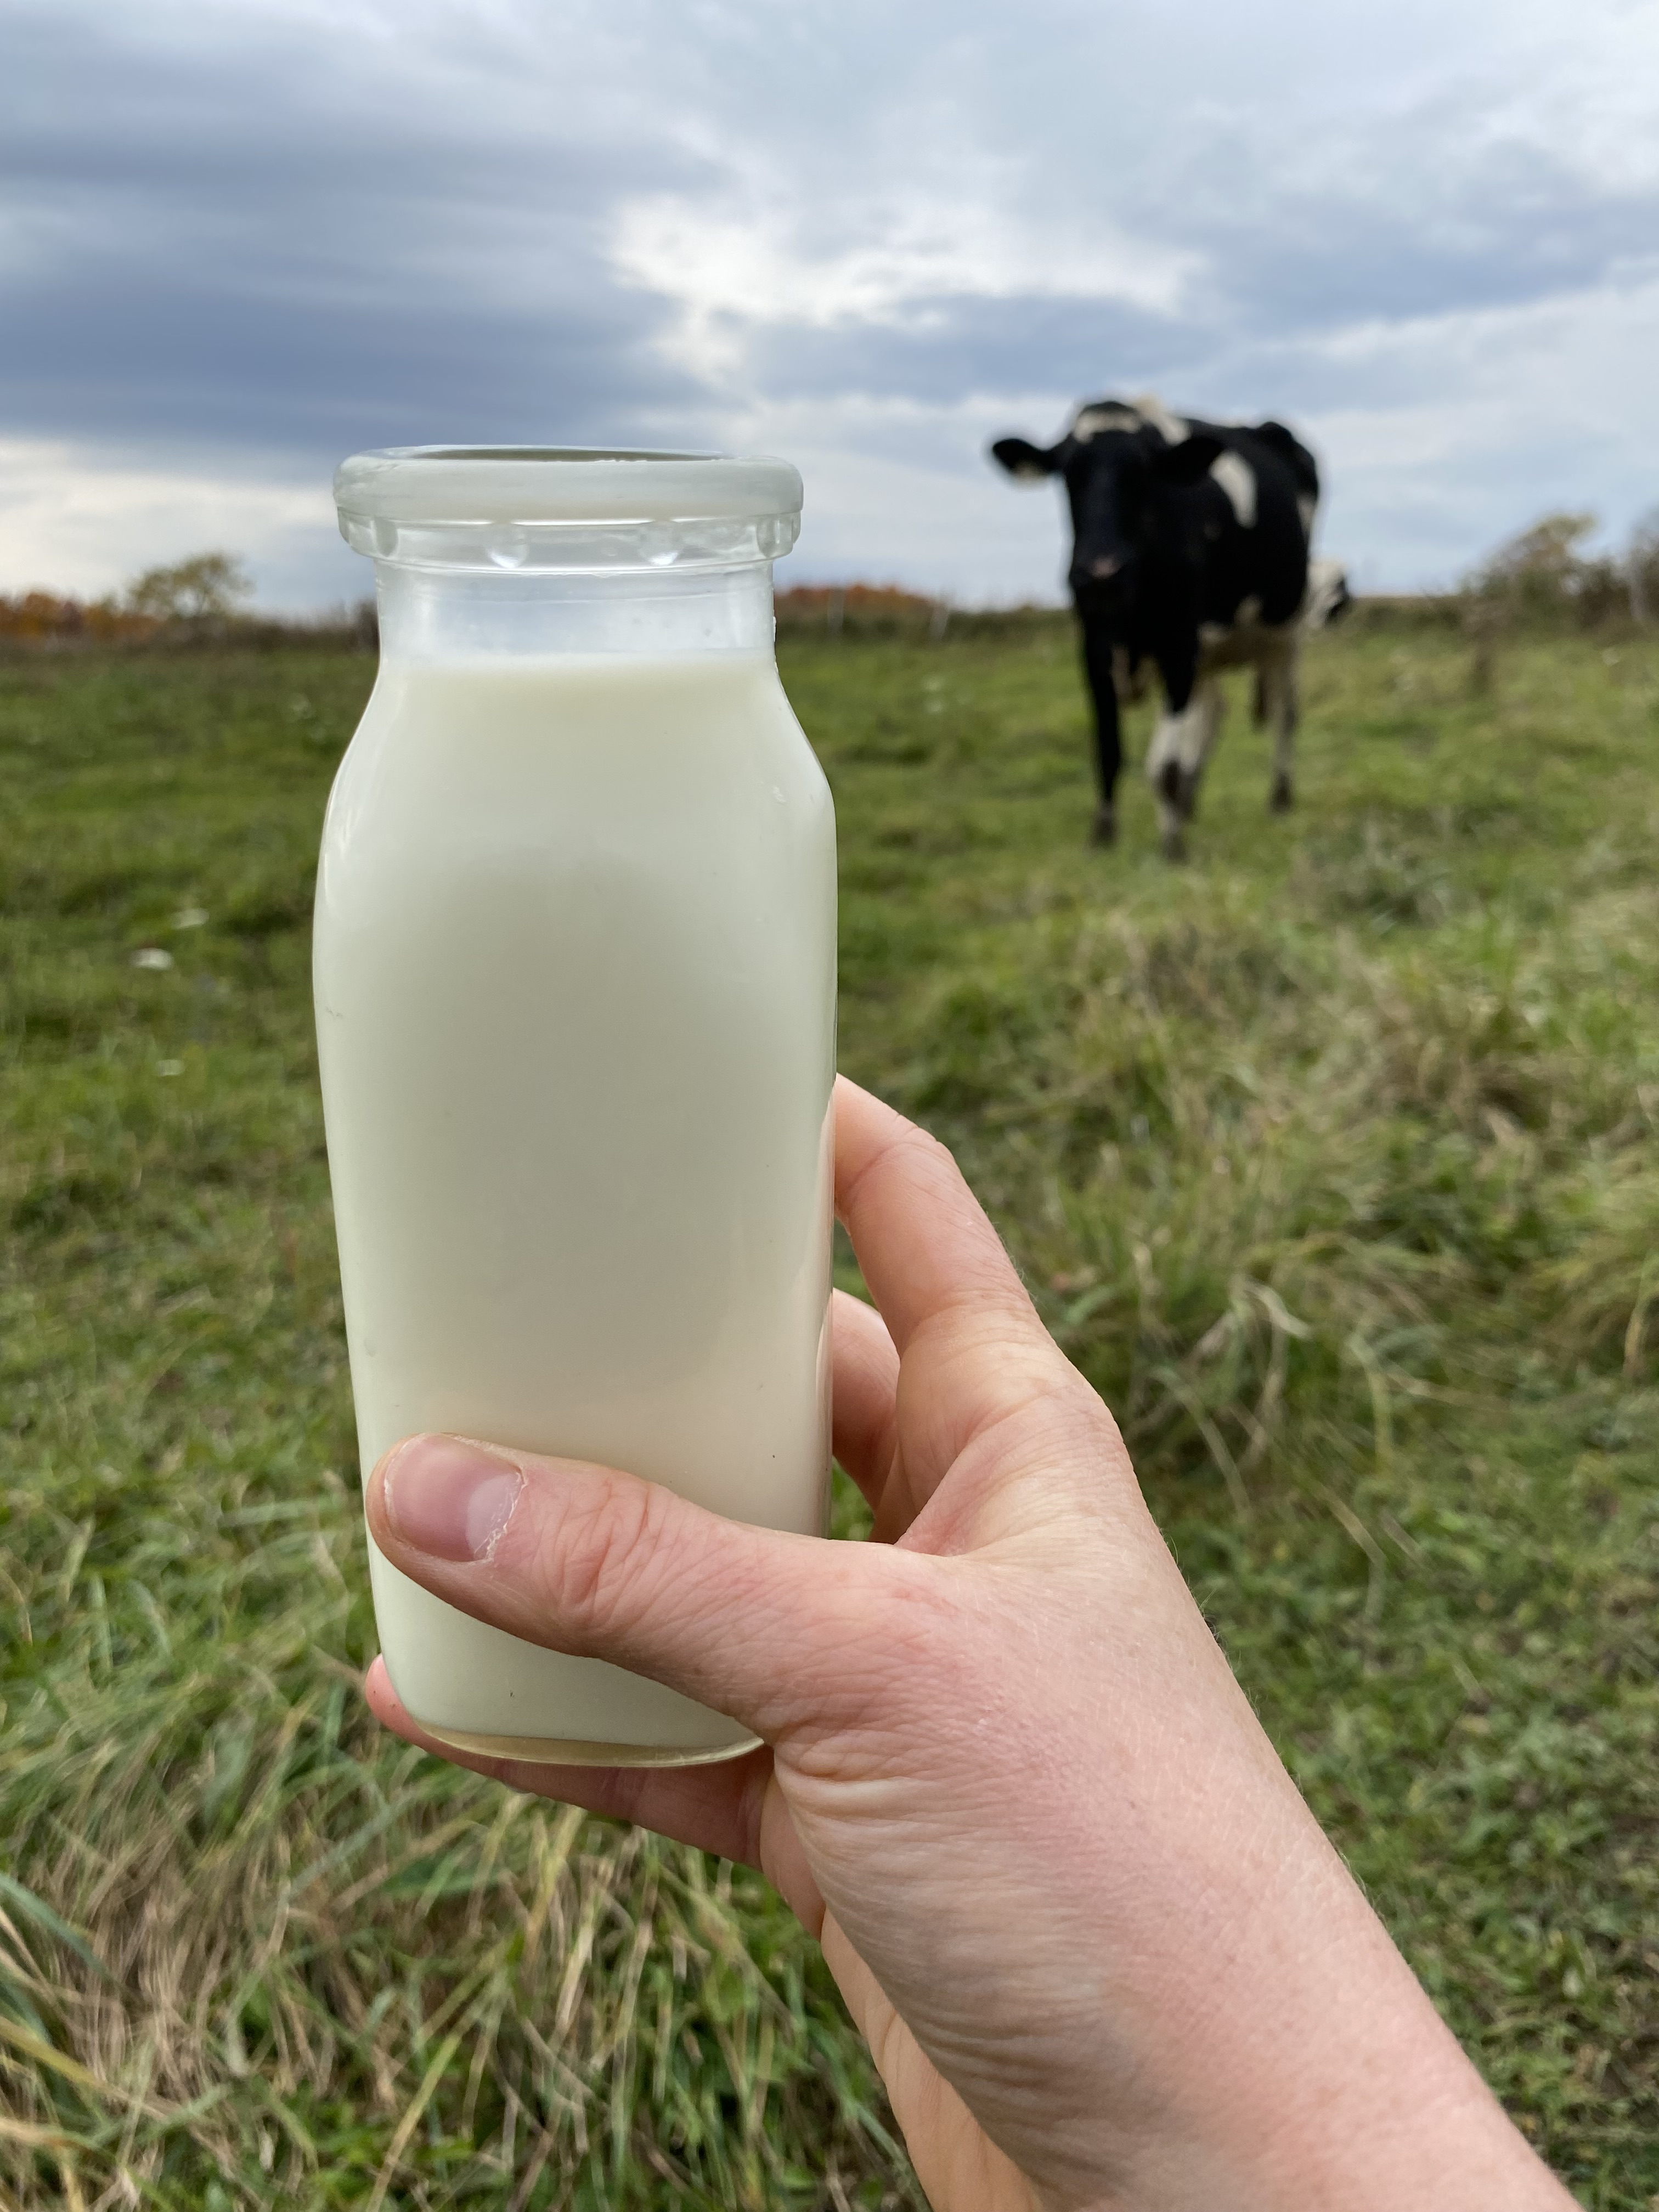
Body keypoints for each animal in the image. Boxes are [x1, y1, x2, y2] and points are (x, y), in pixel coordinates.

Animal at [995, 393, 1345, 849]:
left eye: (1143, 473)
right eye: (1068, 474)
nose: (1102, 572)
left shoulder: (1178, 644)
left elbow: (1165, 766)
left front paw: (1172, 844)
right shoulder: (1095, 646)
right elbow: (1108, 749)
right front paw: (1104, 833)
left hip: (1289, 630)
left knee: (1286, 712)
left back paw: (1279, 798)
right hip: (1210, 651)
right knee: (1213, 715)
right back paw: (1191, 802)